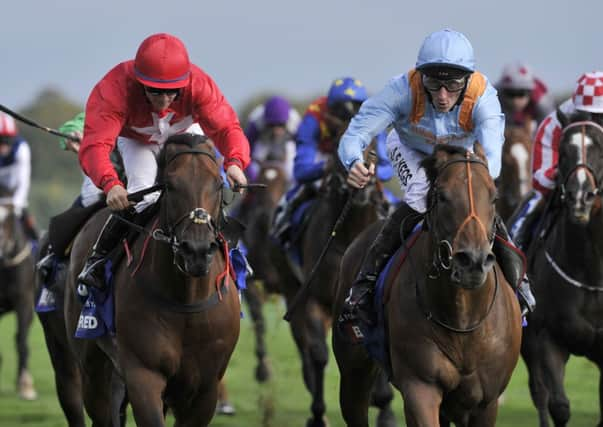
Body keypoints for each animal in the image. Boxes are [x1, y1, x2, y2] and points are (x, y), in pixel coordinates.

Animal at [62, 135, 239, 427]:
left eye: (218, 184)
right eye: (170, 185)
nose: (197, 251)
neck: (187, 299)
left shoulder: (205, 387)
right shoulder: (143, 375)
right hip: (92, 365)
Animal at [336, 145, 524, 426]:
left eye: (493, 197)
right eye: (443, 196)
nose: (473, 261)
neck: (463, 319)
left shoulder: (486, 401)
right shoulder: (420, 386)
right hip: (352, 373)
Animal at [520, 112, 603, 426]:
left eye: (600, 148)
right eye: (564, 151)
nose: (581, 196)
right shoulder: (548, 339)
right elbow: (558, 406)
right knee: (539, 392)